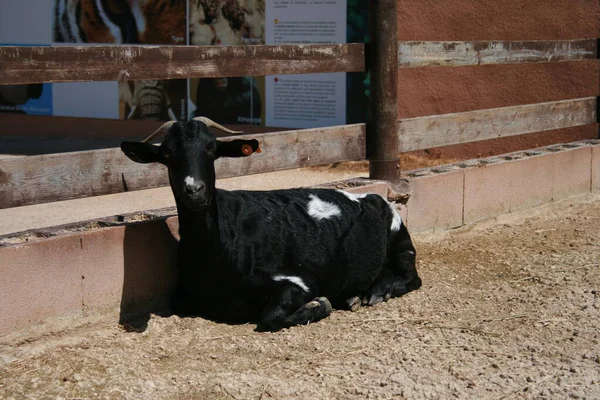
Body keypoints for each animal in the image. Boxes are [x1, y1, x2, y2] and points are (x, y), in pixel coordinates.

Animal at [120, 116, 422, 332]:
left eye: (212, 148)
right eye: (167, 154)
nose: (194, 189)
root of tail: (370, 195)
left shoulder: (298, 281)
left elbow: (271, 317)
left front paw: (320, 305)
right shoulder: (183, 294)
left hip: (400, 239)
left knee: (412, 277)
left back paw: (377, 292)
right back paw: (359, 295)